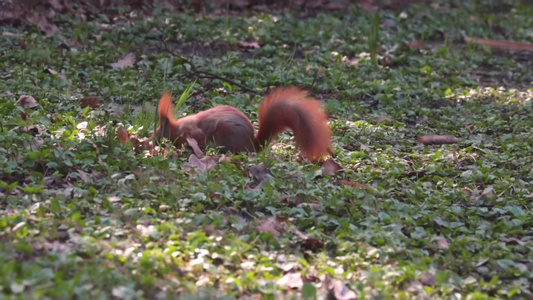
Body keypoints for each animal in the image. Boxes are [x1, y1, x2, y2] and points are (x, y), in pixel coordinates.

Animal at [152, 86, 330, 162]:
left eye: (160, 132)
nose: (152, 140)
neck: (177, 127)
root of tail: (252, 145)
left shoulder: (193, 133)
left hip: (226, 133)